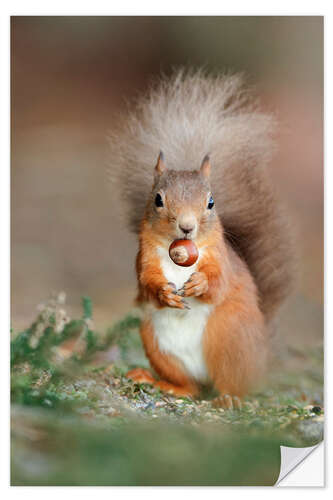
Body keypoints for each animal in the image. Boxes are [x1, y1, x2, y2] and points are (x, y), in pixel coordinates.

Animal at [107, 68, 292, 404]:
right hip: (157, 343)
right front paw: (164, 293)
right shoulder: (145, 257)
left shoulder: (221, 258)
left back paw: (230, 398)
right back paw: (160, 382)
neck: (179, 254)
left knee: (230, 384)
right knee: (191, 387)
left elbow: (218, 283)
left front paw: (201, 284)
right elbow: (147, 282)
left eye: (211, 202)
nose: (187, 226)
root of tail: (261, 356)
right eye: (158, 199)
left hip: (229, 338)